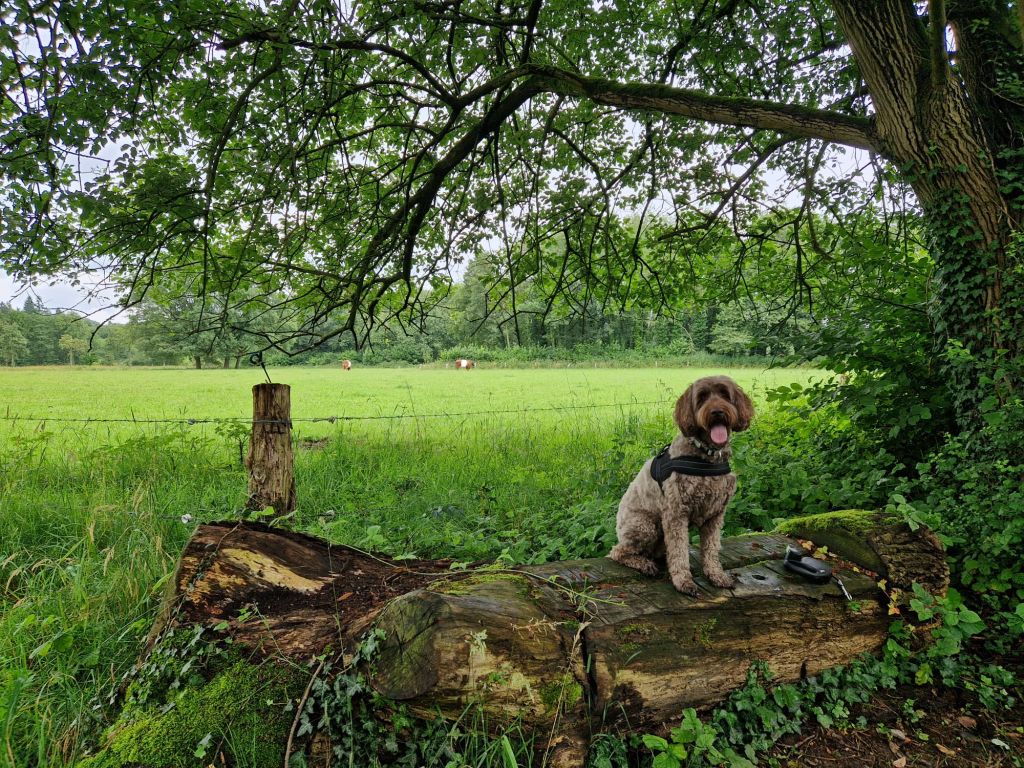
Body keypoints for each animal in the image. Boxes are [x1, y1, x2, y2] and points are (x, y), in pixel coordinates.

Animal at [609, 376, 754, 596]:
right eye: (701, 398)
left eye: (724, 394)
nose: (717, 412)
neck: (706, 456)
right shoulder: (675, 513)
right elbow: (679, 551)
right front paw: (683, 581)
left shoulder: (715, 515)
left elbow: (711, 549)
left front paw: (716, 575)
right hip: (644, 525)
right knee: (617, 552)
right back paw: (644, 564)